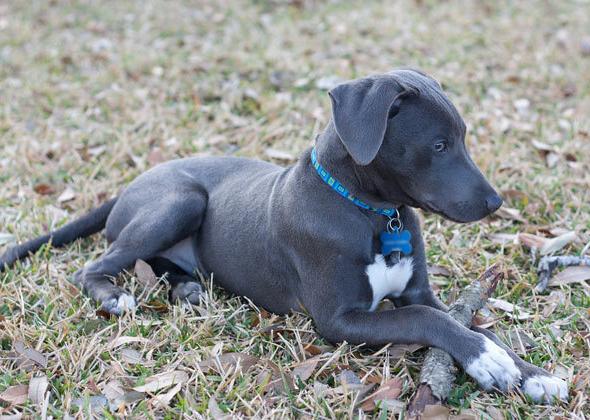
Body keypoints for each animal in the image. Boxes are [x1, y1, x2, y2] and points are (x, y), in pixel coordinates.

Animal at [2, 69, 572, 404]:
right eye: (438, 145)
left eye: (463, 139)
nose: (496, 203)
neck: (371, 212)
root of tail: (132, 183)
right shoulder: (339, 320)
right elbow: (427, 321)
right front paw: (486, 362)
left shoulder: (419, 290)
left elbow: (462, 318)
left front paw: (528, 370)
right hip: (180, 199)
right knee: (94, 265)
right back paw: (115, 296)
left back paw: (188, 288)